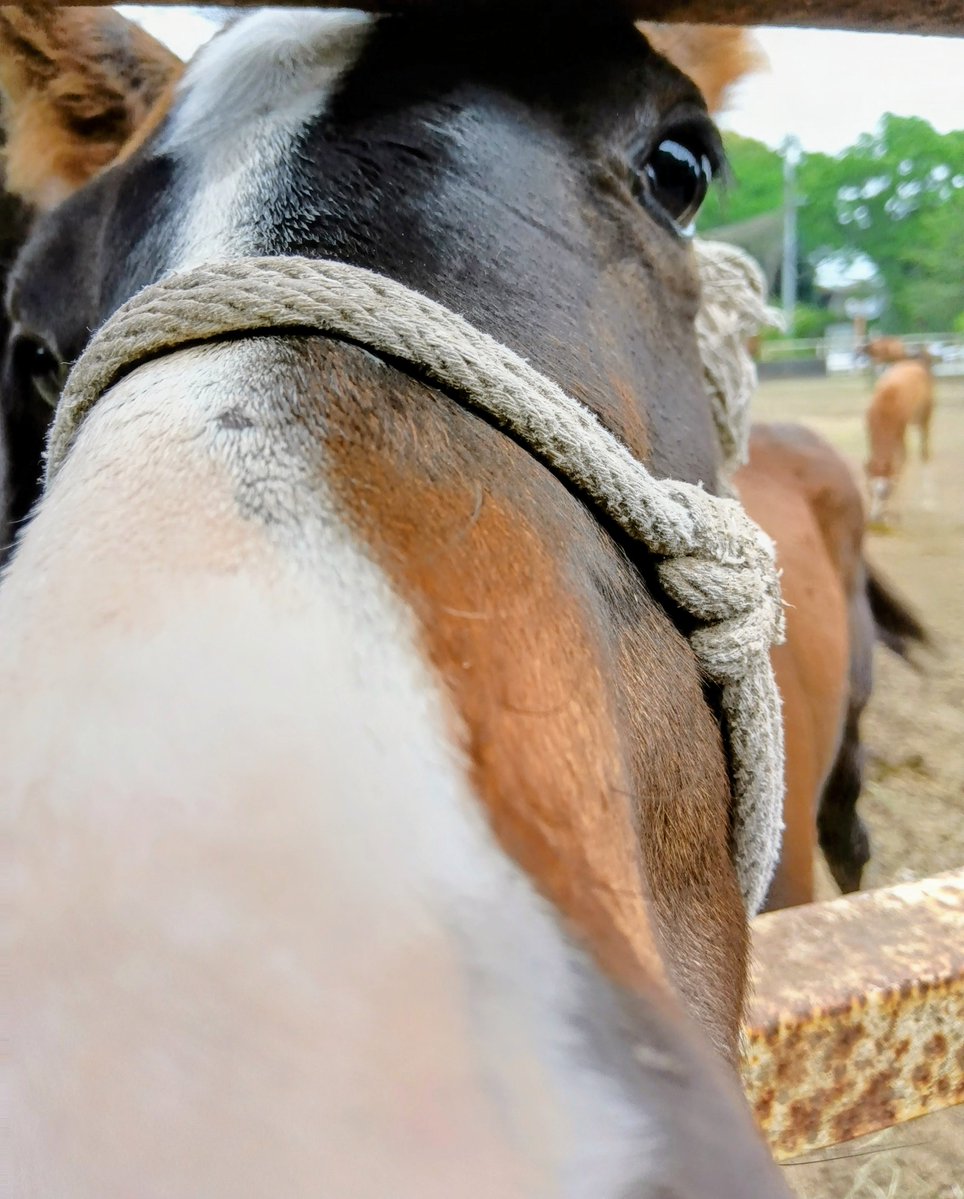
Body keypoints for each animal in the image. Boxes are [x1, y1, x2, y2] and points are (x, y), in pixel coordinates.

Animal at [865, 357, 935, 523]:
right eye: (869, 490)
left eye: (887, 492)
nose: (874, 517)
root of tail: (914, 364)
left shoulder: (899, 435)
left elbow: (900, 464)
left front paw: (895, 511)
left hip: (924, 418)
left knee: (924, 453)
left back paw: (928, 503)